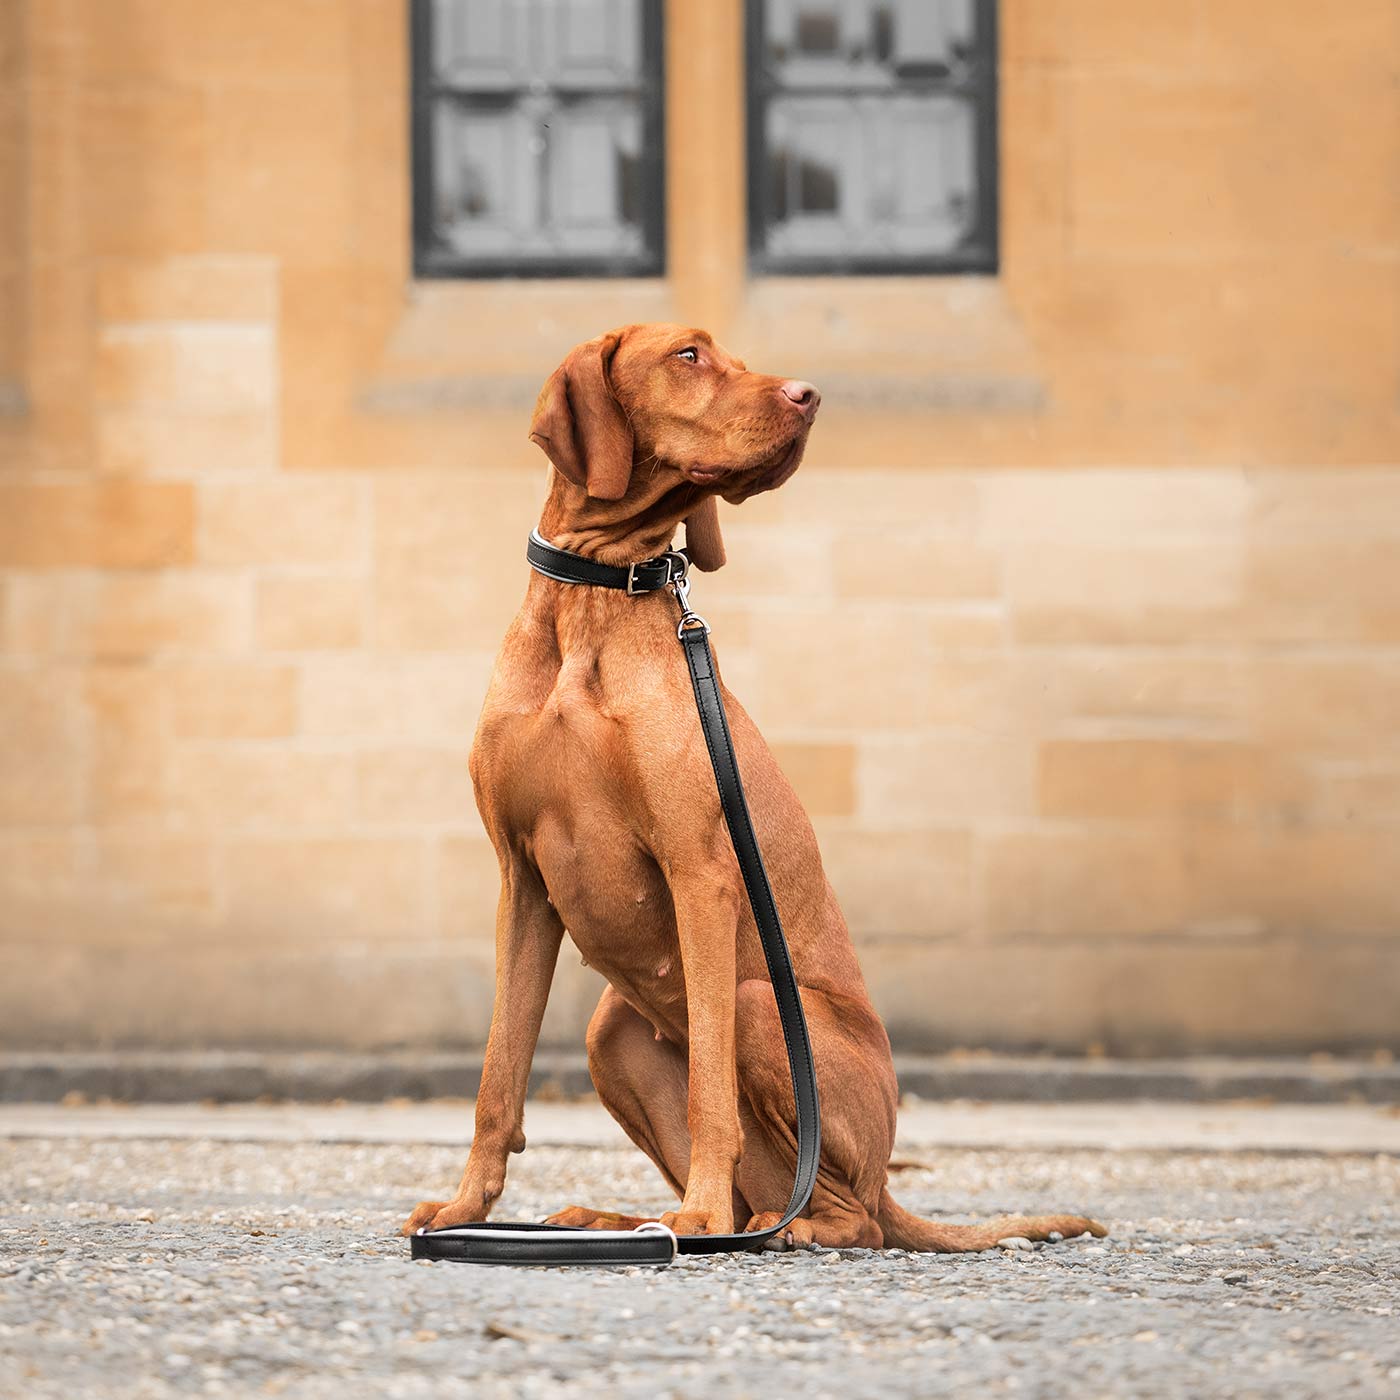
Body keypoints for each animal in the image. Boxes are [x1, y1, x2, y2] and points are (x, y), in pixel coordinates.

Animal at [403, 322, 1103, 1254]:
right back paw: (631, 1218)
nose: (811, 395)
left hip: (757, 1003)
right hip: (613, 1031)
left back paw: (756, 1226)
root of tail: (886, 1184)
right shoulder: (522, 884)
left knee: (845, 1218)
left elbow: (710, 1090)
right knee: (756, 1188)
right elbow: (496, 1077)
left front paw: (697, 1213)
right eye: (688, 355)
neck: (595, 600)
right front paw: (464, 1210)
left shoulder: (699, 871)